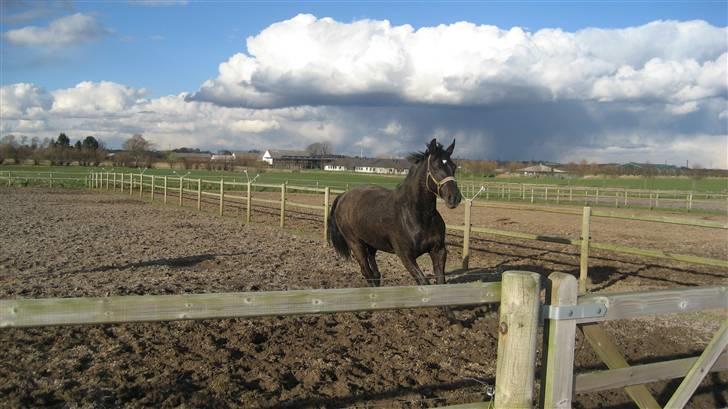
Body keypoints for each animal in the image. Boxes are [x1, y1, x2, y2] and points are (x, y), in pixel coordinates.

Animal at [328, 139, 460, 286]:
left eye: (453, 167)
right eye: (436, 167)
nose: (455, 198)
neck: (418, 216)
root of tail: (343, 196)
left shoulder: (439, 250)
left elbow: (441, 282)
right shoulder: (406, 256)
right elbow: (424, 282)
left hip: (372, 243)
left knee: (375, 274)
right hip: (355, 244)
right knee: (367, 273)